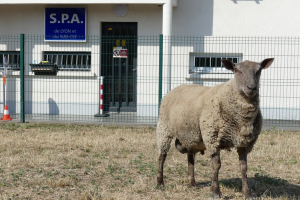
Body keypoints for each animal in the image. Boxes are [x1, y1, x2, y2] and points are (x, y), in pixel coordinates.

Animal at [157, 57, 274, 198]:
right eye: (237, 70)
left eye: (259, 70)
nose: (251, 87)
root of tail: (178, 87)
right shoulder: (212, 138)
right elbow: (216, 165)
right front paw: (216, 191)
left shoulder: (244, 143)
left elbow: (244, 167)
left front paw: (247, 193)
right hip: (164, 128)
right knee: (162, 156)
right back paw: (160, 182)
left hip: (191, 135)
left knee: (190, 157)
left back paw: (192, 183)